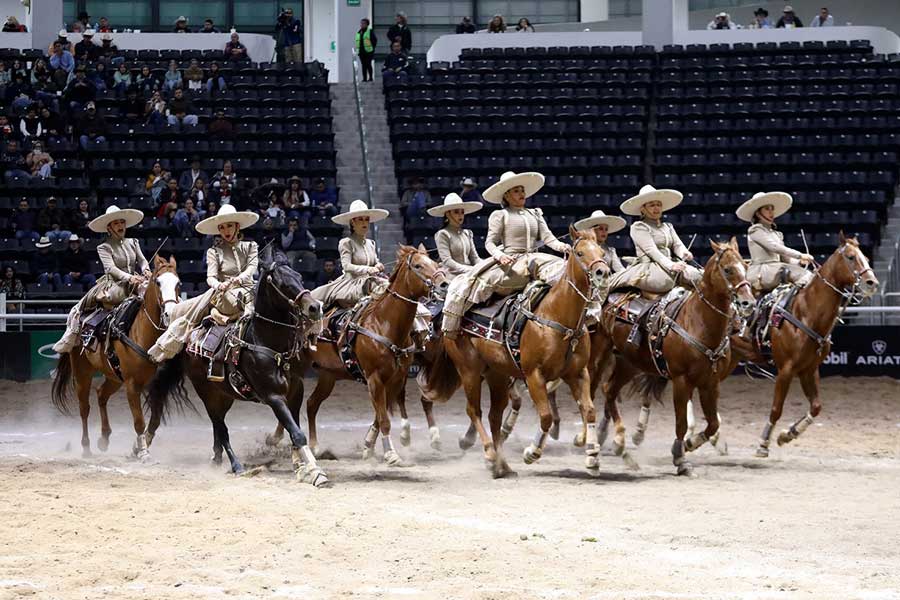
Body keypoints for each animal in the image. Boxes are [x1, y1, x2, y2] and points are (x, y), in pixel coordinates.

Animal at [51, 256, 182, 460]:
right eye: (158, 282)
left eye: (178, 283)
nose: (170, 313)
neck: (141, 333)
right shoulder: (132, 385)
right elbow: (139, 421)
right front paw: (143, 452)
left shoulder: (154, 382)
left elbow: (153, 418)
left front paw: (138, 448)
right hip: (82, 373)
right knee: (84, 407)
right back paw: (86, 447)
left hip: (114, 377)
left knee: (101, 395)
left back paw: (104, 438)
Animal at [268, 244, 450, 464]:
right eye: (418, 266)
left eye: (435, 263)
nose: (444, 284)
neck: (385, 324)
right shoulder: (374, 379)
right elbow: (384, 418)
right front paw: (390, 453)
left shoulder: (396, 378)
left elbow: (381, 415)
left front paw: (369, 445)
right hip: (296, 369)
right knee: (288, 400)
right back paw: (276, 437)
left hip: (328, 375)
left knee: (311, 404)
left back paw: (315, 446)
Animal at [444, 225, 608, 478]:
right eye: (580, 253)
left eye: (601, 251)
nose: (602, 272)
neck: (558, 317)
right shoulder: (534, 376)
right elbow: (546, 416)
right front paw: (532, 452)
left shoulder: (578, 374)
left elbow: (589, 411)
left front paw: (592, 455)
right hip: (469, 371)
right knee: (474, 411)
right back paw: (490, 455)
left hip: (497, 375)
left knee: (494, 417)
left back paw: (502, 465)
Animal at [596, 237, 756, 476]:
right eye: (728, 269)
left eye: (745, 266)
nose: (749, 303)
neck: (698, 323)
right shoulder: (681, 381)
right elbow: (681, 422)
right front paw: (681, 459)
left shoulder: (710, 383)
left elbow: (712, 424)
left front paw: (691, 444)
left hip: (629, 363)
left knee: (609, 391)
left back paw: (619, 446)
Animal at [728, 234, 876, 454]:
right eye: (850, 257)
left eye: (865, 257)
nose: (871, 283)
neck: (806, 313)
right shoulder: (786, 370)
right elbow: (776, 409)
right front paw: (764, 442)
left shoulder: (809, 369)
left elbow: (816, 407)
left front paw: (788, 434)